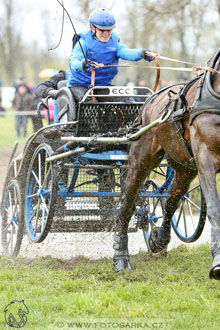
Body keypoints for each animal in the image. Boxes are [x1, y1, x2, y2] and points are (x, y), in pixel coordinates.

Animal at [113, 49, 220, 280]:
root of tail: (151, 99)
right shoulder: (205, 159)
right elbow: (215, 207)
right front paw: (217, 260)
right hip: (141, 159)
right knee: (126, 204)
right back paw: (121, 258)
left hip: (185, 168)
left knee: (171, 201)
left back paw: (159, 239)